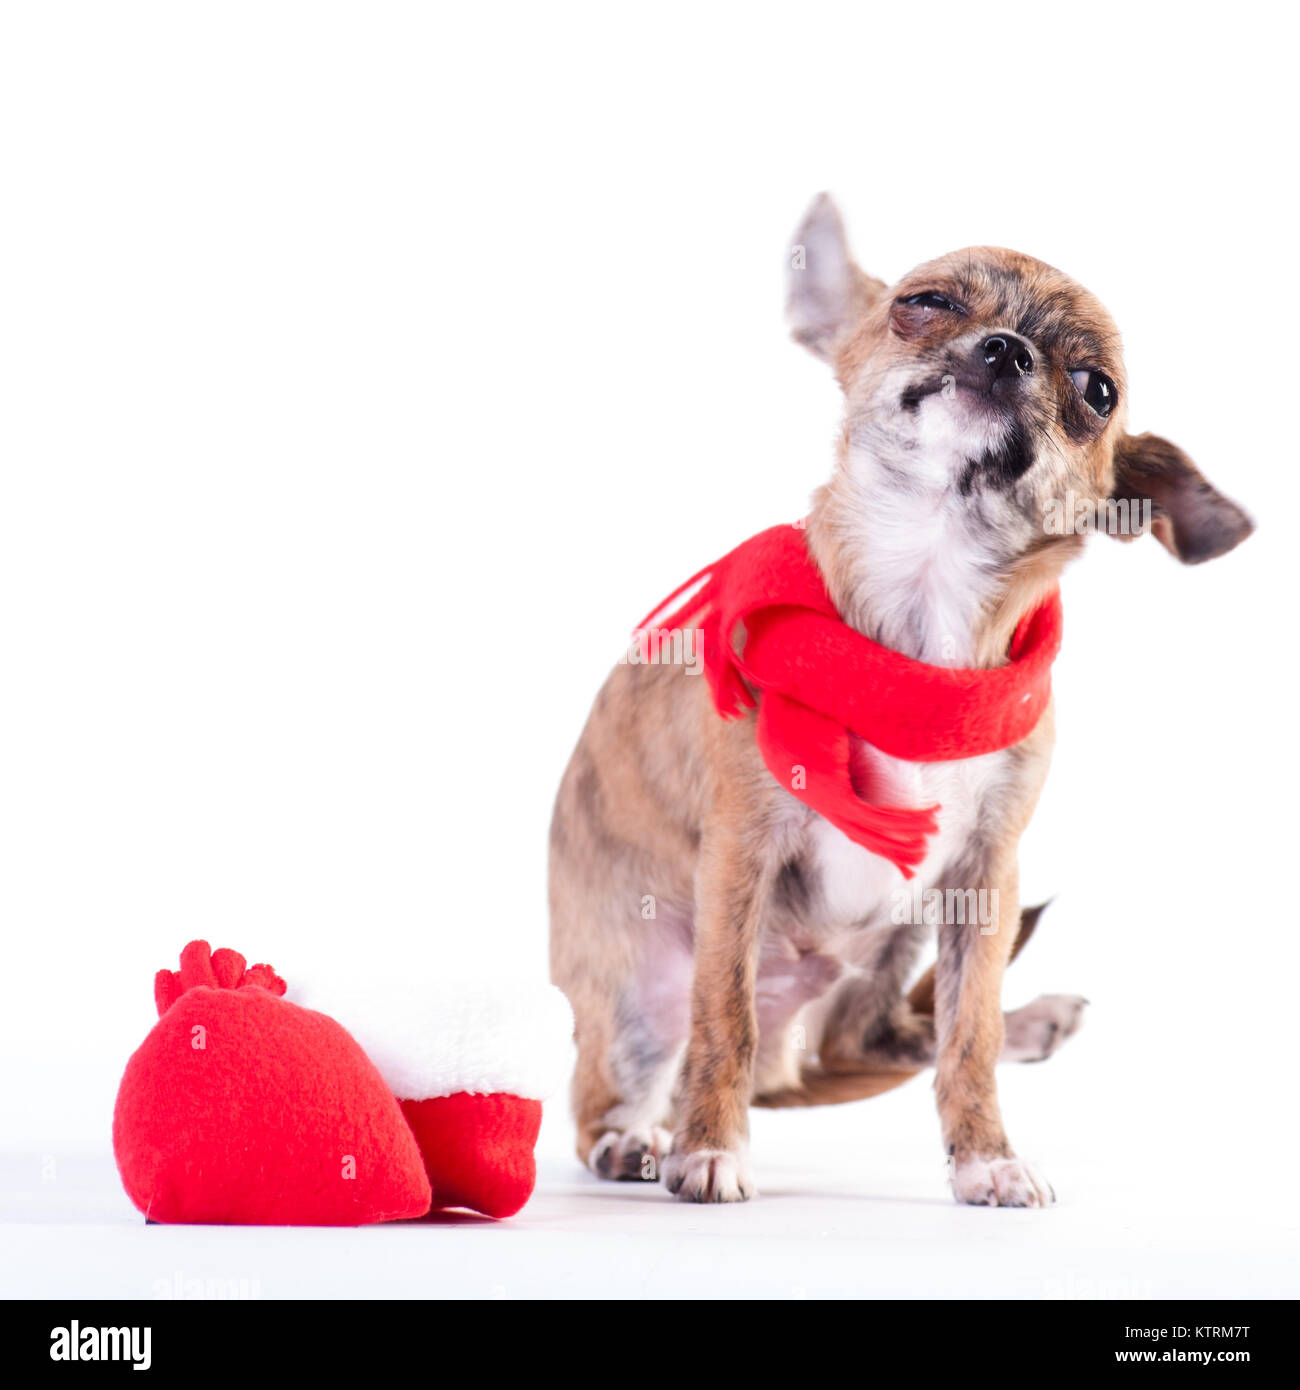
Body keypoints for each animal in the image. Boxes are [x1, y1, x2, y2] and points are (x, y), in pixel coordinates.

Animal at [547, 195, 1251, 1206]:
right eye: (924, 303)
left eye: (1095, 390)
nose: (1005, 350)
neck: (927, 598)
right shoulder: (740, 853)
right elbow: (724, 1013)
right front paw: (710, 1148)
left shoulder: (985, 879)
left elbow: (970, 1035)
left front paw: (987, 1155)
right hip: (640, 991)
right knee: (618, 1090)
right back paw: (641, 1139)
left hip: (902, 938)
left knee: (878, 1037)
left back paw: (1030, 1023)